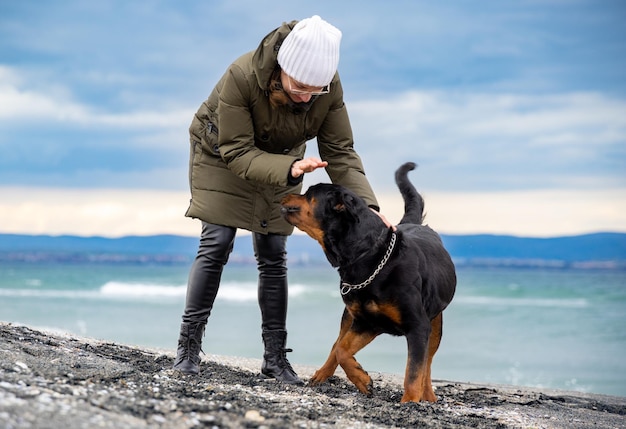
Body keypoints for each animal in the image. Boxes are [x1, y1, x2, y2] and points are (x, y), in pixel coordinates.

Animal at [280, 161, 456, 402]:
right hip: (349, 314)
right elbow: (342, 350)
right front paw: (362, 380)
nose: (286, 193)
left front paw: (409, 401)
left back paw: (428, 395)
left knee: (427, 362)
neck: (369, 254)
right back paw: (322, 374)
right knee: (337, 344)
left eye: (309, 194)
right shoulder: (366, 322)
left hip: (435, 322)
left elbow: (414, 371)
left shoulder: (417, 326)